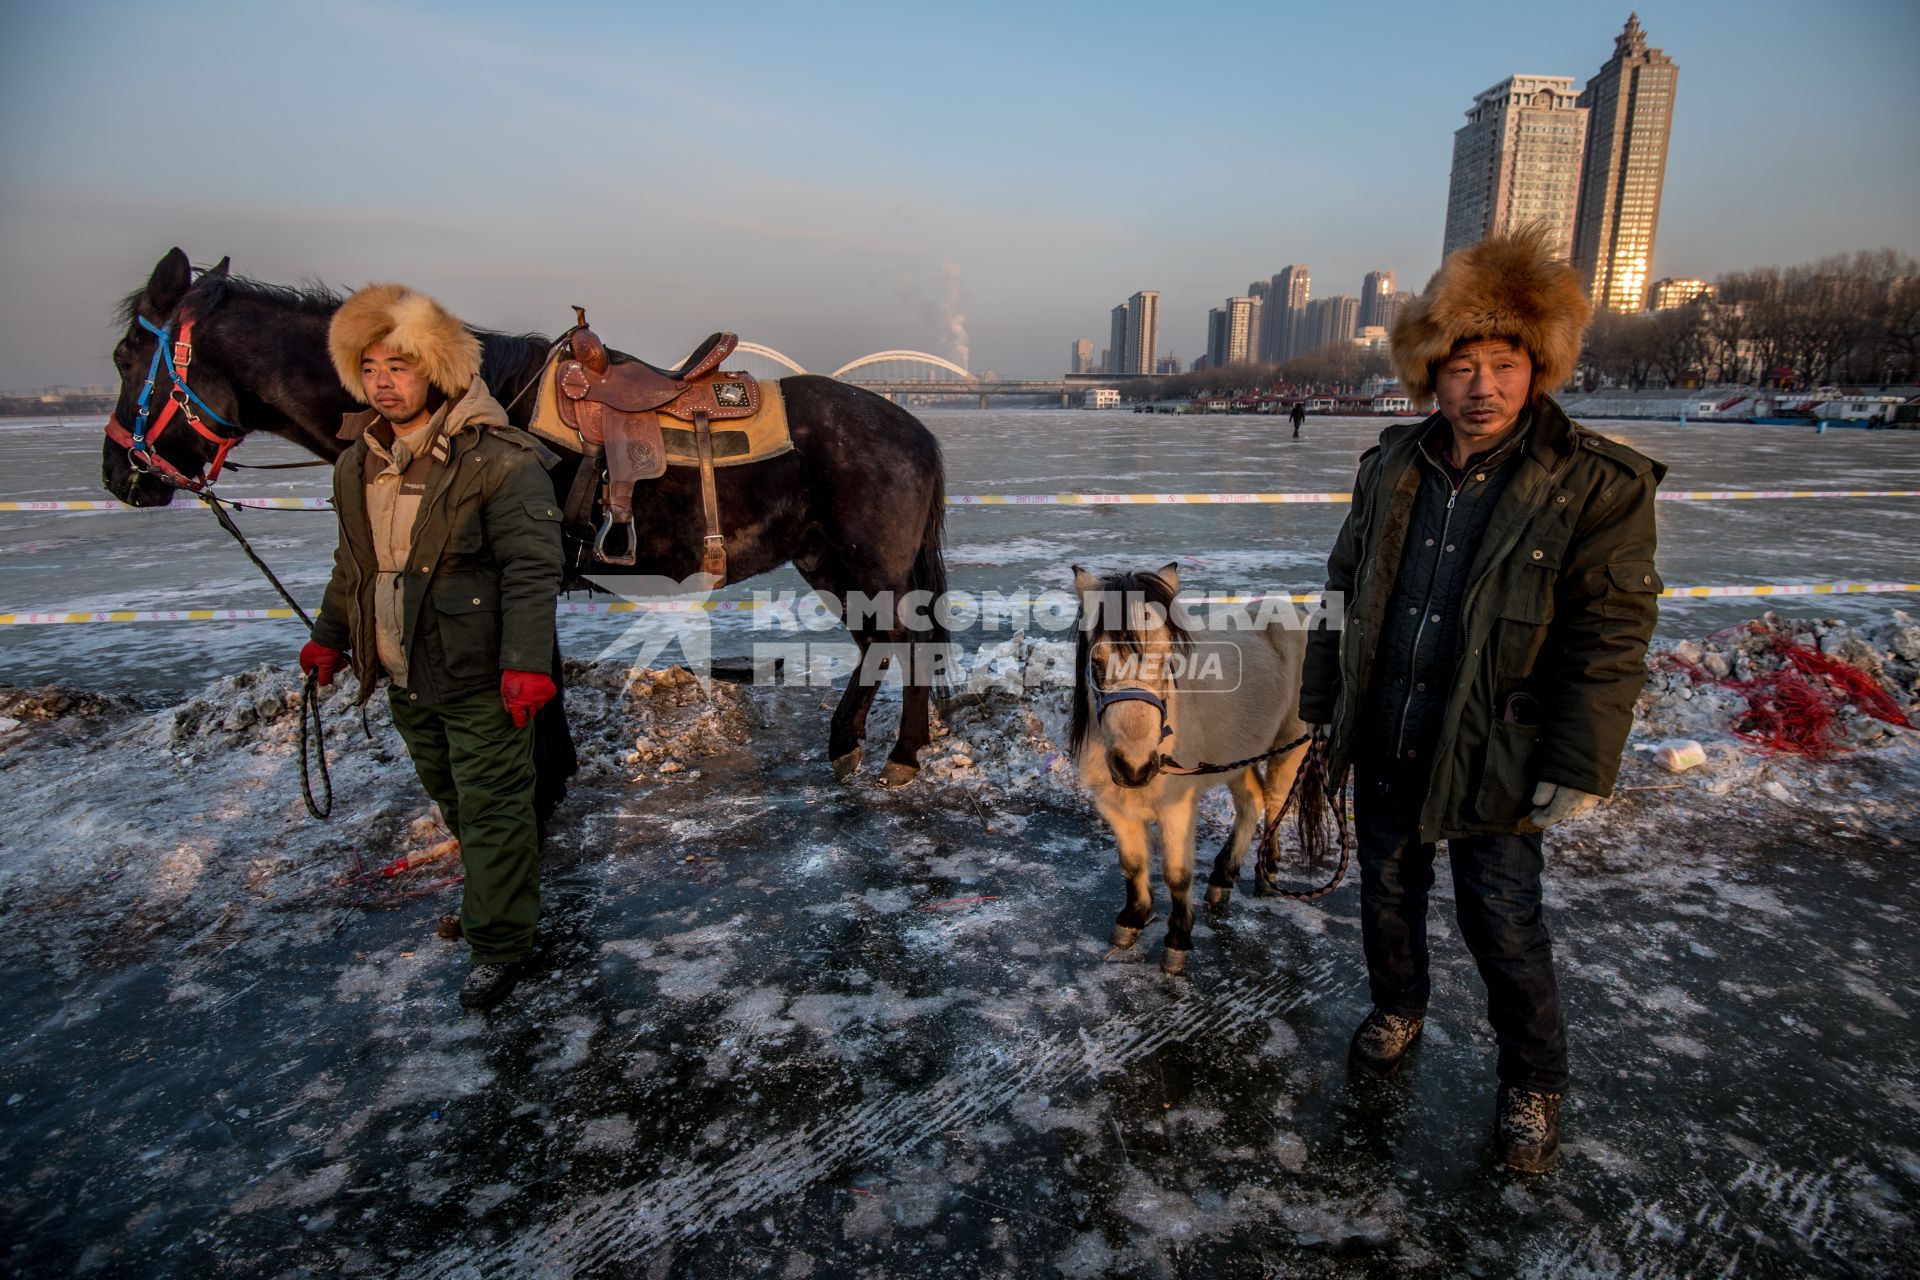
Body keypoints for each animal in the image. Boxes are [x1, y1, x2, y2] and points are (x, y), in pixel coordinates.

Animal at [97, 249, 952, 790]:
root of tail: (913, 425)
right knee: (883, 645)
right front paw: (555, 771)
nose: (118, 475)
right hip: (827, 560)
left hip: (867, 562)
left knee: (900, 643)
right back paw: (865, 744)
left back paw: (891, 751)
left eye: (124, 358)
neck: (465, 410)